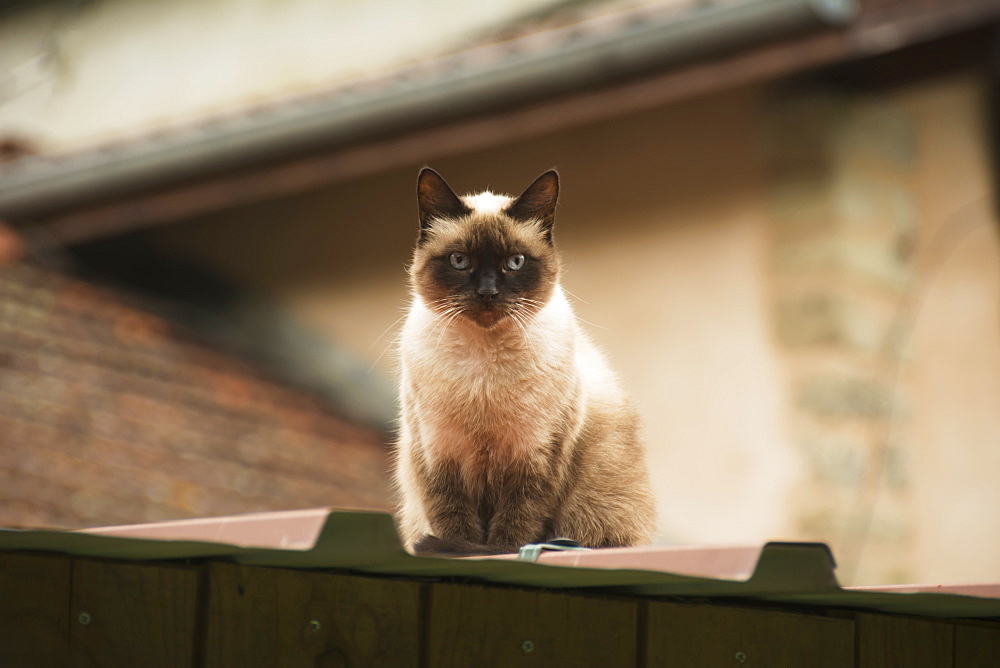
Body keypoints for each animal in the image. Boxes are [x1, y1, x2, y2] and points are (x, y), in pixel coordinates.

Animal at [390, 170, 656, 556]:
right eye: (459, 261)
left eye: (515, 262)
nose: (487, 293)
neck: (484, 366)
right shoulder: (438, 454)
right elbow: (453, 521)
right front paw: (456, 547)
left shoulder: (535, 456)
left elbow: (513, 530)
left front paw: (494, 550)